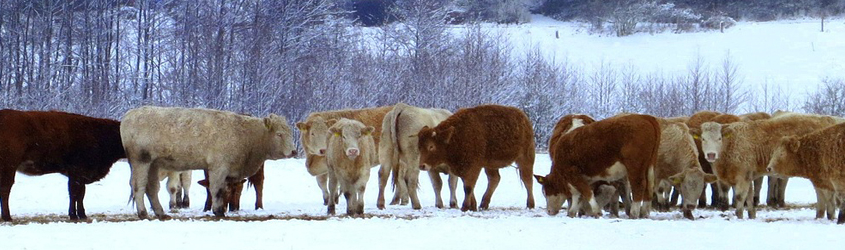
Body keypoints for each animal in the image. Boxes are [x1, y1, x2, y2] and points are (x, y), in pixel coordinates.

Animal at [120, 106, 296, 218]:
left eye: (290, 132)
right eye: (279, 134)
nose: (294, 151)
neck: (246, 134)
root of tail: (129, 115)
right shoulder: (218, 168)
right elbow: (217, 190)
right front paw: (219, 212)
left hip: (154, 165)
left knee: (152, 189)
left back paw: (161, 213)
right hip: (141, 162)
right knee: (138, 187)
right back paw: (143, 213)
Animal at [692, 114, 836, 219]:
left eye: (719, 138)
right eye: (703, 138)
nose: (711, 154)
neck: (731, 144)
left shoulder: (742, 177)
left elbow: (740, 197)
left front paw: (739, 216)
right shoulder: (746, 177)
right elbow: (748, 197)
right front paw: (751, 215)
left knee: (827, 193)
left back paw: (829, 215)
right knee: (821, 193)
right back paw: (820, 215)